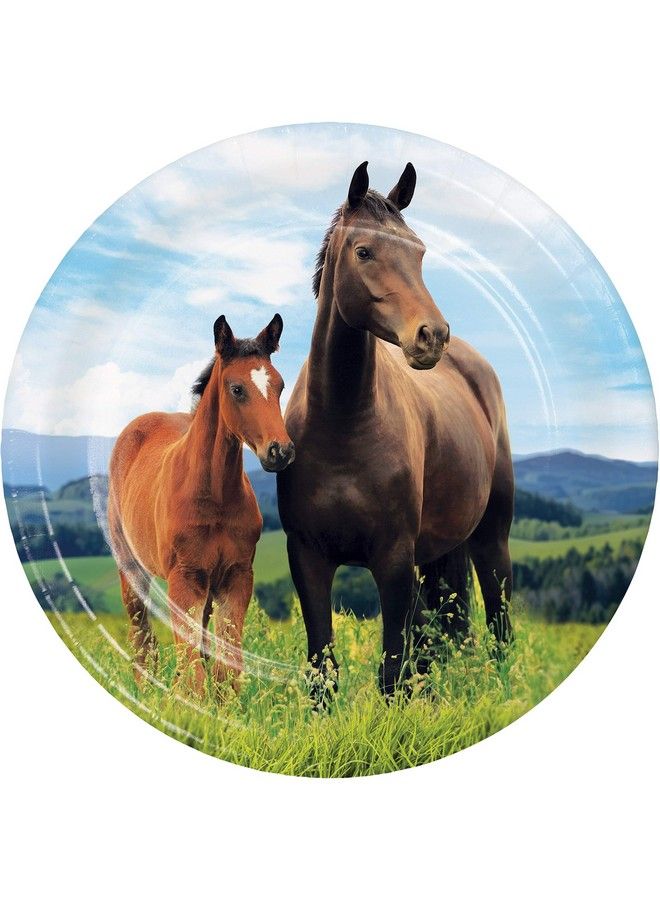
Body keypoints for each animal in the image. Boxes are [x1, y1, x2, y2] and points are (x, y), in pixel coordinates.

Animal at [108, 314, 294, 697]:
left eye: (280, 386)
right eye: (237, 388)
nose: (280, 451)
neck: (214, 497)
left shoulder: (236, 576)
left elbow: (227, 665)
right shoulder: (184, 578)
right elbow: (192, 667)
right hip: (132, 568)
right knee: (142, 637)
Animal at [277, 161, 514, 698]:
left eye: (419, 252)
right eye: (364, 251)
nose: (432, 336)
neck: (343, 425)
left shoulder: (393, 560)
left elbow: (392, 673)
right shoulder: (308, 559)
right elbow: (324, 674)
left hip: (492, 540)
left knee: (499, 629)